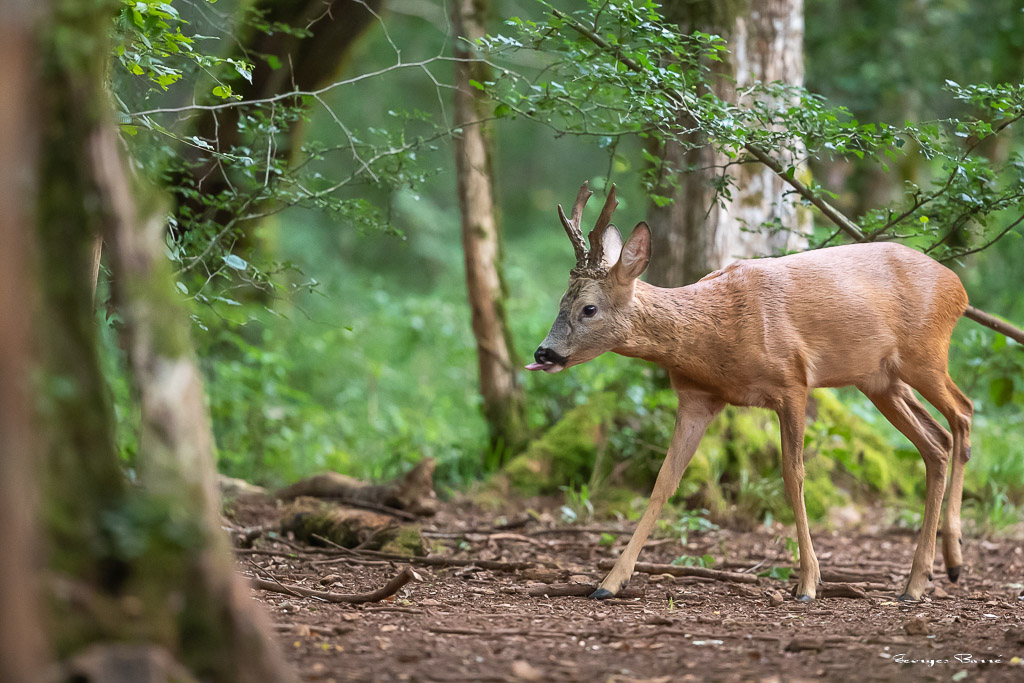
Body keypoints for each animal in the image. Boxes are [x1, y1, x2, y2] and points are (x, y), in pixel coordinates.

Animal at [525, 181, 974, 602]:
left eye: (588, 308)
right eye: (561, 301)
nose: (543, 352)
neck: (713, 334)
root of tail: (959, 288)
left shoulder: (792, 382)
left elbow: (793, 475)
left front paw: (808, 583)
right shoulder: (697, 399)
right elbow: (665, 481)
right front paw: (610, 582)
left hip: (925, 355)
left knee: (963, 411)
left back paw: (951, 560)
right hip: (879, 380)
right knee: (936, 441)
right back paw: (918, 581)